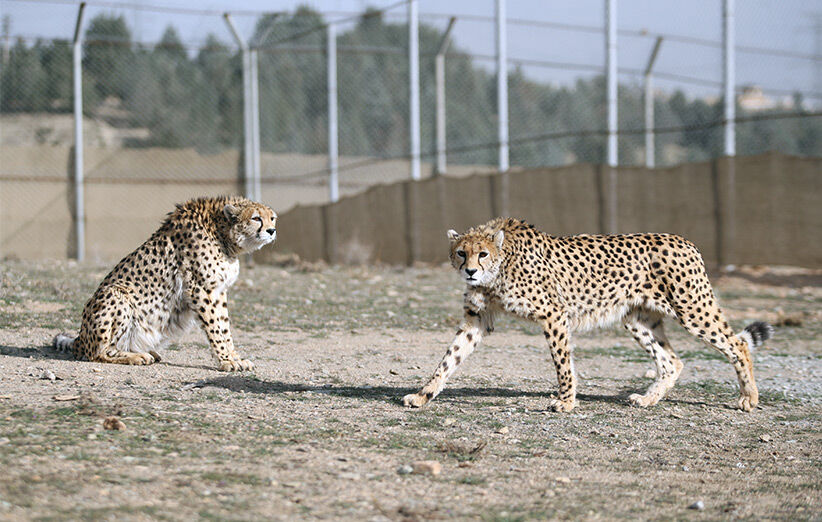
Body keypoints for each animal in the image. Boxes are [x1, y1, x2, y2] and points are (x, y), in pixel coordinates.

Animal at [55, 195, 280, 370]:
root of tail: (80, 338)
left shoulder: (218, 291)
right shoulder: (203, 290)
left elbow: (224, 326)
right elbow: (216, 327)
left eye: (272, 218)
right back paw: (137, 356)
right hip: (116, 293)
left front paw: (234, 358)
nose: (272, 231)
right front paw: (227, 361)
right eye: (256, 218)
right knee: (98, 352)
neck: (221, 231)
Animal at [402, 215, 776, 410]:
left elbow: (562, 363)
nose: (470, 272)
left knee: (737, 345)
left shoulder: (554, 314)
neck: (500, 266)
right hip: (638, 318)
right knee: (672, 361)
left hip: (692, 309)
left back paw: (749, 398)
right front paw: (423, 394)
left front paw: (566, 402)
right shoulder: (477, 319)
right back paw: (648, 400)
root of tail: (685, 240)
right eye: (460, 253)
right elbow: (449, 358)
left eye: (482, 254)